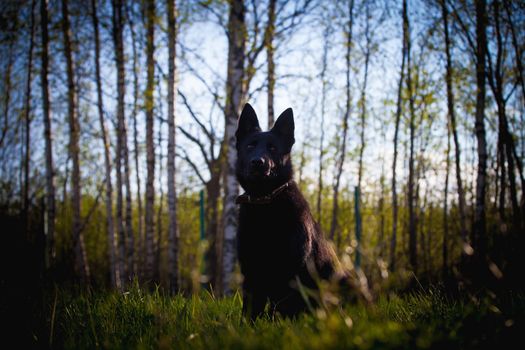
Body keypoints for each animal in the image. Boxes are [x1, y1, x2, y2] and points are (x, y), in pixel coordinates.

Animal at [234, 102, 342, 318]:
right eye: (250, 146)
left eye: (273, 148)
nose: (258, 162)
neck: (265, 202)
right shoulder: (250, 274)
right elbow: (250, 313)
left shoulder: (291, 272)